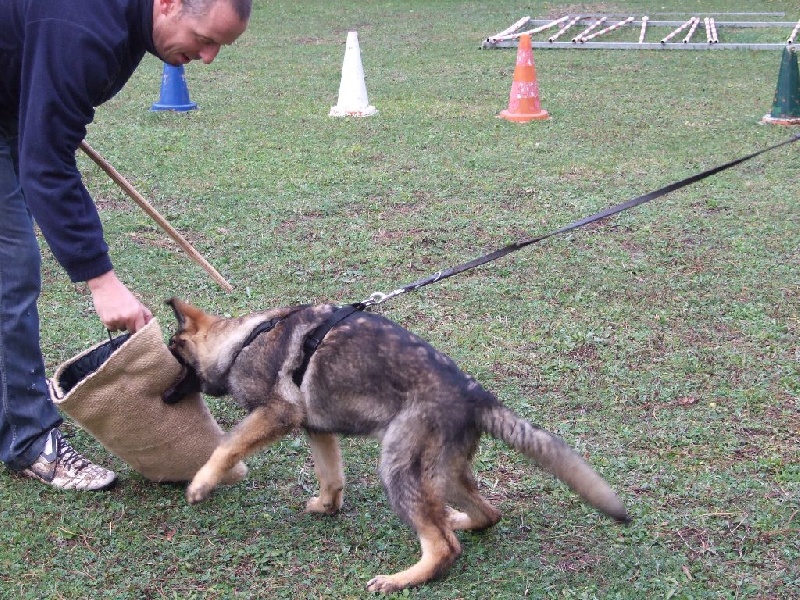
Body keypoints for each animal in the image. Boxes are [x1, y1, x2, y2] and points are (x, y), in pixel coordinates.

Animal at [162, 296, 628, 592]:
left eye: (175, 360)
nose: (163, 398)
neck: (243, 341)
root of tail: (475, 394)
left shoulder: (278, 413)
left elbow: (226, 446)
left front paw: (201, 484)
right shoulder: (317, 428)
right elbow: (330, 475)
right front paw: (327, 506)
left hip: (398, 464)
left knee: (444, 547)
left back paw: (402, 578)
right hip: (440, 470)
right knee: (485, 514)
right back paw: (454, 518)